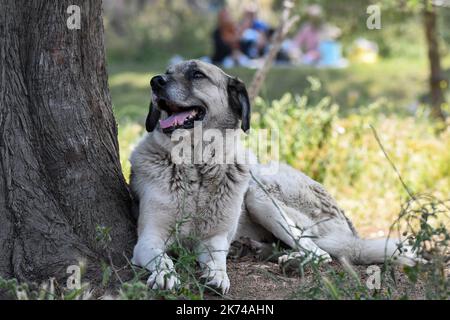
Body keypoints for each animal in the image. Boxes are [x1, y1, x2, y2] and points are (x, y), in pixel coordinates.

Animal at [130, 60, 418, 296]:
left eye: (197, 74)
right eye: (167, 72)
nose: (155, 81)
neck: (197, 167)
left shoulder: (214, 239)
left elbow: (217, 261)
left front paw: (218, 277)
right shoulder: (149, 239)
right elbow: (163, 258)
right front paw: (165, 275)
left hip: (259, 195)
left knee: (320, 252)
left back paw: (287, 259)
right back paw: (259, 249)